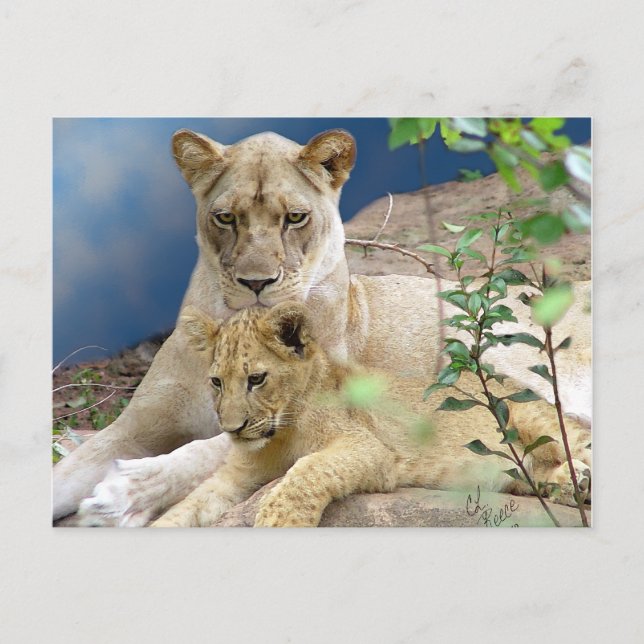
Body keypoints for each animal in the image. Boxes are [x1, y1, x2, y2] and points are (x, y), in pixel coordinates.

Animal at [149, 302, 590, 528]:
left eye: (256, 379)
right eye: (216, 382)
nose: (232, 429)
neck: (279, 436)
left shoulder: (369, 448)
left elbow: (308, 470)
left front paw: (279, 520)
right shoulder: (235, 478)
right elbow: (187, 506)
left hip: (529, 416)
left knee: (577, 444)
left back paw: (580, 478)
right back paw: (570, 486)